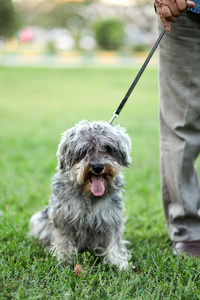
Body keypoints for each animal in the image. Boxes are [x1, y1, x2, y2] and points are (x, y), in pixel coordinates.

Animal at [29, 119, 132, 270]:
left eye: (107, 148)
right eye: (83, 150)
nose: (98, 167)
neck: (88, 193)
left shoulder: (111, 218)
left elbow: (115, 242)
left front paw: (119, 263)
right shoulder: (63, 217)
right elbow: (63, 240)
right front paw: (62, 258)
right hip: (39, 219)